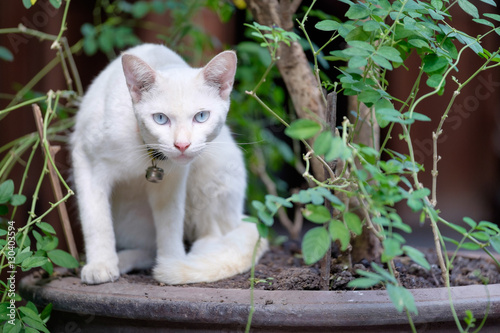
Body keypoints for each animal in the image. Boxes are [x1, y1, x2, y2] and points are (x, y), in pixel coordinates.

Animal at [71, 42, 266, 284]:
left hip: (217, 167)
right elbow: (96, 221)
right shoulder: (86, 161)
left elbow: (170, 223)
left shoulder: (173, 181)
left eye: (201, 116)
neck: (144, 148)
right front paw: (101, 264)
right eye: (160, 119)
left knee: (214, 232)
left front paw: (172, 262)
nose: (182, 144)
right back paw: (122, 260)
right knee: (147, 248)